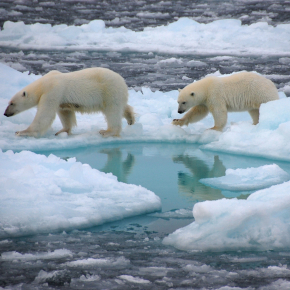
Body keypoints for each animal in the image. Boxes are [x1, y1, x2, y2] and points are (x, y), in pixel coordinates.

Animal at [3, 67, 135, 138]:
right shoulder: (60, 98)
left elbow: (45, 115)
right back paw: (130, 118)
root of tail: (122, 80)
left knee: (112, 111)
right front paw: (62, 131)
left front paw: (22, 132)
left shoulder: (53, 91)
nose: (5, 113)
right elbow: (65, 112)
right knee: (122, 107)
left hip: (109, 90)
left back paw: (107, 131)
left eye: (12, 103)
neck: (43, 84)